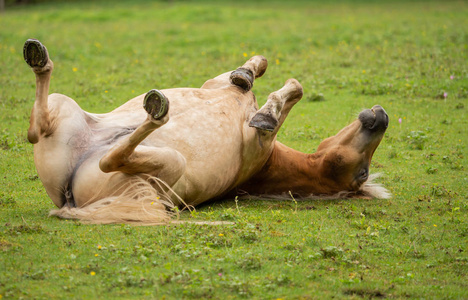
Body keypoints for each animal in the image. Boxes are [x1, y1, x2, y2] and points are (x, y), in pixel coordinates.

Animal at [22, 38, 388, 224]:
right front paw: (246, 74)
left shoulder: (257, 141)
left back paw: (157, 112)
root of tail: (68, 200)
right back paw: (38, 58)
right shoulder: (215, 83)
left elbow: (284, 99)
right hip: (64, 105)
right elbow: (266, 69)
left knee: (108, 158)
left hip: (170, 164)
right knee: (36, 129)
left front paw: (265, 112)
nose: (382, 116)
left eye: (362, 173)